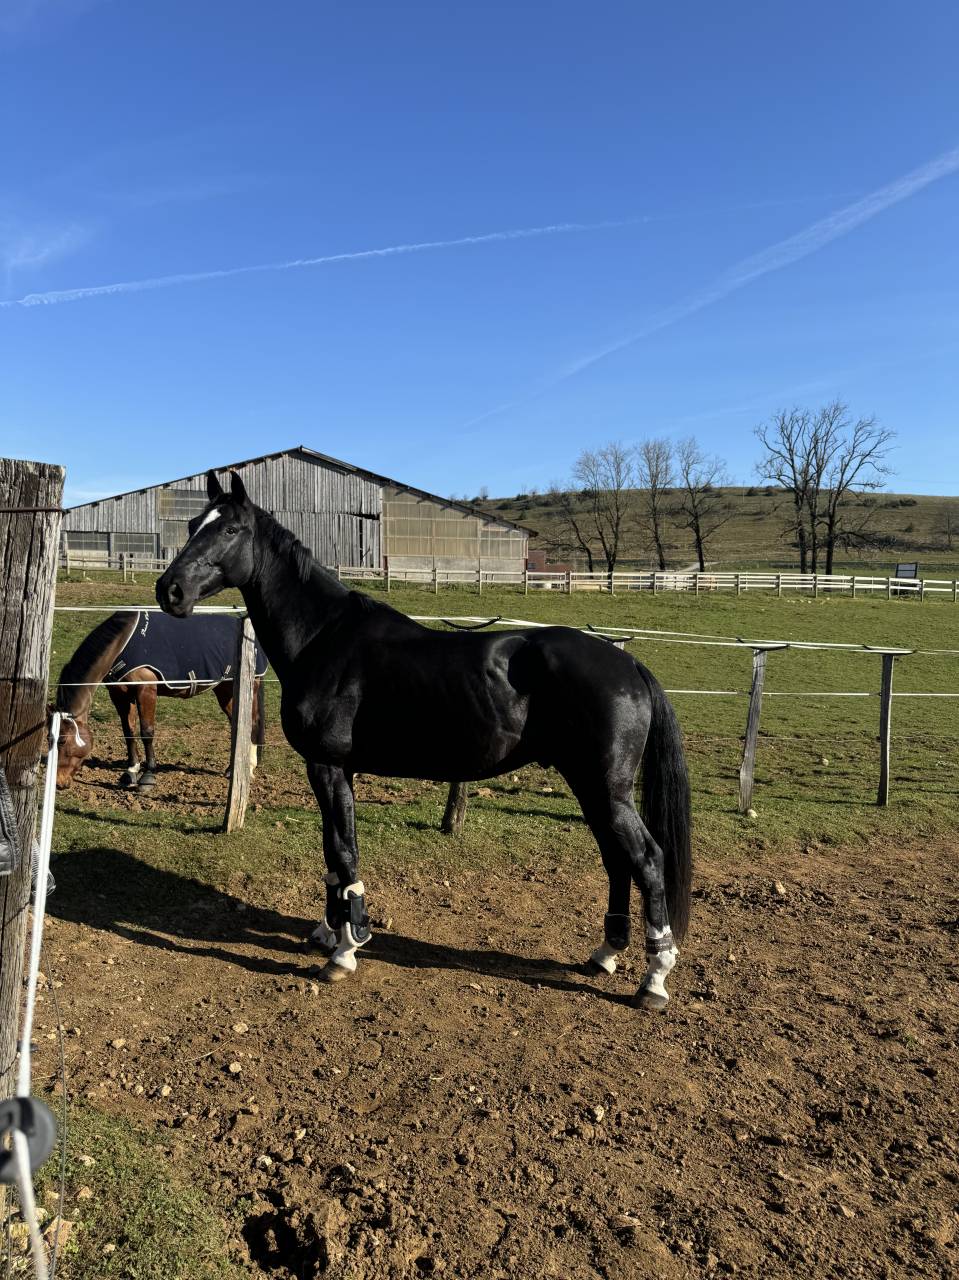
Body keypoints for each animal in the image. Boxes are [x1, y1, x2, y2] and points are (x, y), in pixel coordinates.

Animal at [53, 608, 267, 792]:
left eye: (62, 740)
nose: (58, 783)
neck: (123, 643)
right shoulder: (120, 694)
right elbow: (128, 732)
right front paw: (130, 772)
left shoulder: (146, 690)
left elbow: (147, 732)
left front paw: (147, 777)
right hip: (225, 691)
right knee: (237, 726)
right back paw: (233, 769)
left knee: (251, 724)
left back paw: (248, 767)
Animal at [156, 470, 692, 1011]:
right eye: (193, 524)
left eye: (231, 530)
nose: (169, 590)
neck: (323, 639)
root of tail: (628, 664)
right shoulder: (333, 770)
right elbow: (332, 854)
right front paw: (328, 933)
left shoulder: (328, 766)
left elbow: (344, 853)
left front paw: (345, 951)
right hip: (591, 787)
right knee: (617, 860)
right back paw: (605, 954)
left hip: (606, 790)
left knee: (647, 860)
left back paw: (654, 979)